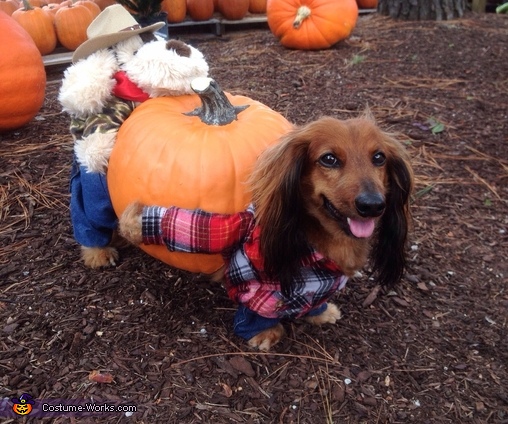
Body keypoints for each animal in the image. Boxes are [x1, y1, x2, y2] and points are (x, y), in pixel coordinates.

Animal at [119, 113, 412, 352]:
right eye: (329, 159)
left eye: (379, 157)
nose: (372, 205)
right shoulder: (259, 284)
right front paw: (265, 333)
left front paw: (321, 312)